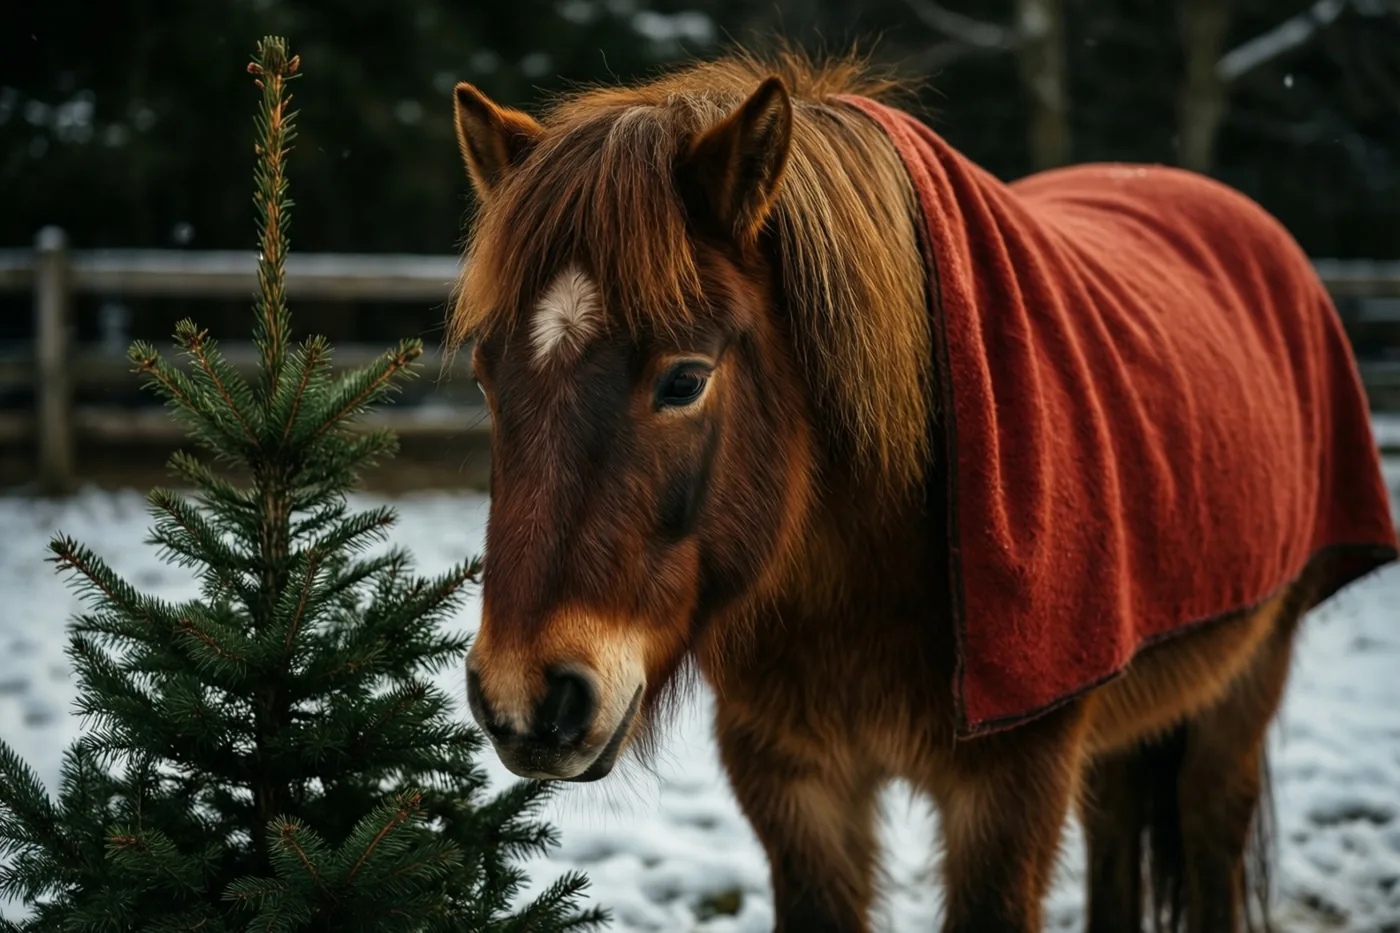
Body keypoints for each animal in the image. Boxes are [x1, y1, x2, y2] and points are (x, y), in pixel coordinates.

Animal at [446, 51, 1398, 933]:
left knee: (1209, 835)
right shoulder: (795, 783)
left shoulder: (1009, 790)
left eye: (684, 379)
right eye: (488, 376)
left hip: (1244, 685)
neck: (860, 569)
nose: (525, 699)